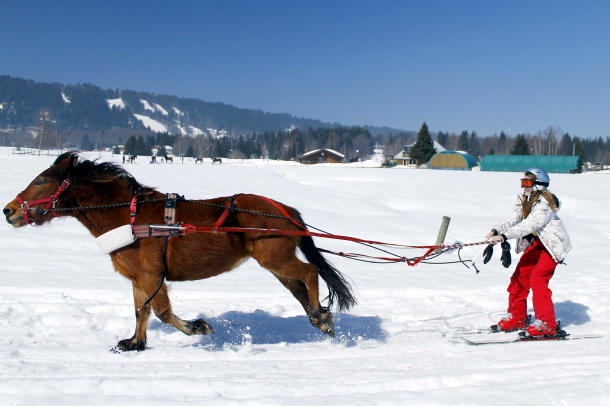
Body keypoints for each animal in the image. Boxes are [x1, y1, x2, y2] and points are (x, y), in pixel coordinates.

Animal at [2, 152, 354, 352]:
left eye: (40, 181)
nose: (8, 211)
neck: (129, 216)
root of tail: (285, 210)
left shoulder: (151, 274)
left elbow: (162, 312)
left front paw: (198, 327)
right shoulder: (138, 278)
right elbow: (141, 311)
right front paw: (134, 343)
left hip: (275, 257)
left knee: (309, 273)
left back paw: (320, 315)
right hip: (275, 263)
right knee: (299, 288)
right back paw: (320, 319)